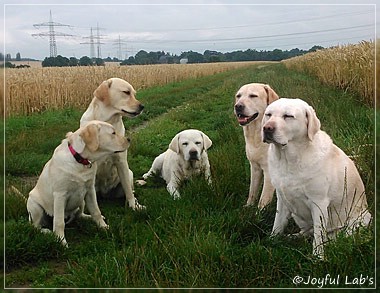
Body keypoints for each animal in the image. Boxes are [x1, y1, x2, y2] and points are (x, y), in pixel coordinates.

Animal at [81, 77, 145, 209]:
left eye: (134, 94)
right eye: (126, 92)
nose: (142, 106)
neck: (107, 121)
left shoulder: (121, 161)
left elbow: (128, 190)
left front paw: (133, 206)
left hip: (129, 173)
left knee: (129, 189)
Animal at [262, 98, 372, 258]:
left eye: (288, 116)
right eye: (268, 114)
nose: (267, 128)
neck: (289, 159)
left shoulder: (318, 203)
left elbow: (319, 235)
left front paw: (318, 257)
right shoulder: (282, 199)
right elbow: (277, 224)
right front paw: (271, 241)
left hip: (357, 223)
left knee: (332, 238)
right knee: (308, 232)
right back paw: (293, 237)